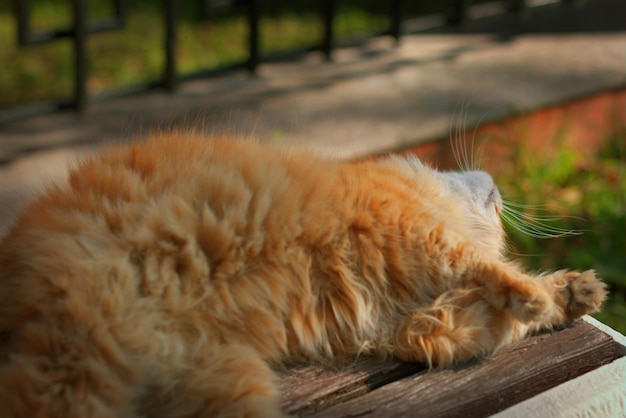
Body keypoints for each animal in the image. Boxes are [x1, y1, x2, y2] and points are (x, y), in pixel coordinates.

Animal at [0, 131, 604, 418]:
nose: (496, 187)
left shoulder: (411, 328)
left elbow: (491, 320)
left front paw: (569, 294)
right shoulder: (405, 226)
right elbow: (484, 267)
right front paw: (534, 293)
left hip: (224, 380)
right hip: (77, 358)